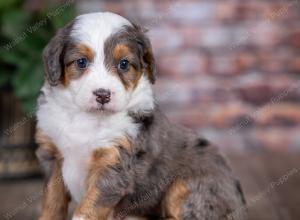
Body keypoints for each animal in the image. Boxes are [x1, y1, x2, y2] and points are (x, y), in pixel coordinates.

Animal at [35, 12, 246, 220]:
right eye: (81, 62)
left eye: (124, 64)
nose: (102, 95)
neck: (87, 117)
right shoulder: (53, 158)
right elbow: (52, 202)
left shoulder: (114, 167)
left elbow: (86, 211)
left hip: (188, 186)